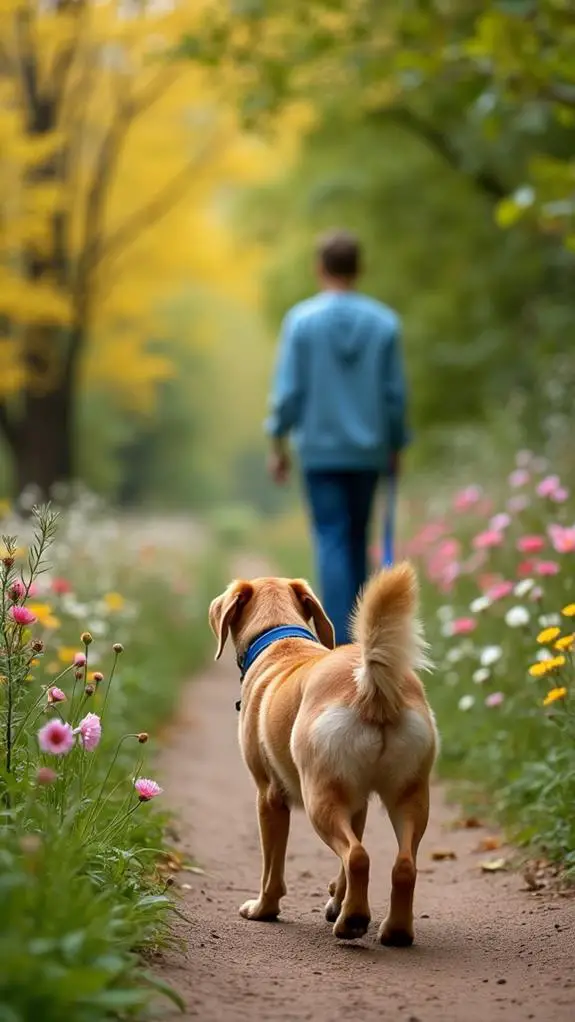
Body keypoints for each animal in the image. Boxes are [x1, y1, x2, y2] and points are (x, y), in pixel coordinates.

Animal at [209, 564, 439, 944]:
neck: (279, 639)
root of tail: (370, 688)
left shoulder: (268, 797)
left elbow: (272, 868)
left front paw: (263, 909)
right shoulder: (357, 801)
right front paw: (336, 899)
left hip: (318, 796)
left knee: (358, 856)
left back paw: (353, 921)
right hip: (409, 795)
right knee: (403, 864)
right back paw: (394, 929)